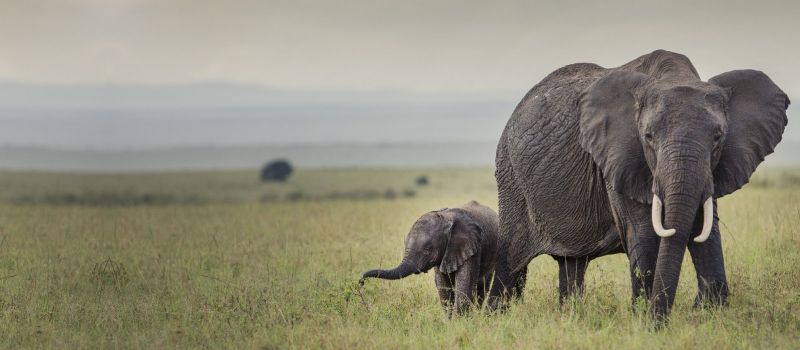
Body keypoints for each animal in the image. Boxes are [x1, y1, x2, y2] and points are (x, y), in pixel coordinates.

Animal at [360, 200, 496, 314]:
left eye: (427, 250)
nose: (361, 282)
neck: (445, 218)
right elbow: (443, 288)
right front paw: (450, 321)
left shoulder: (472, 248)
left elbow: (463, 286)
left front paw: (459, 321)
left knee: (482, 287)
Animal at [490, 50, 792, 322]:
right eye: (648, 137)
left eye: (718, 137)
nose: (662, 321)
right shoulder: (618, 156)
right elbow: (644, 233)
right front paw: (645, 321)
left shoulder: (713, 169)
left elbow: (704, 227)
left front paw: (708, 315)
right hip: (510, 176)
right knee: (511, 263)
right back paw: (497, 316)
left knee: (572, 264)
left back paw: (570, 318)